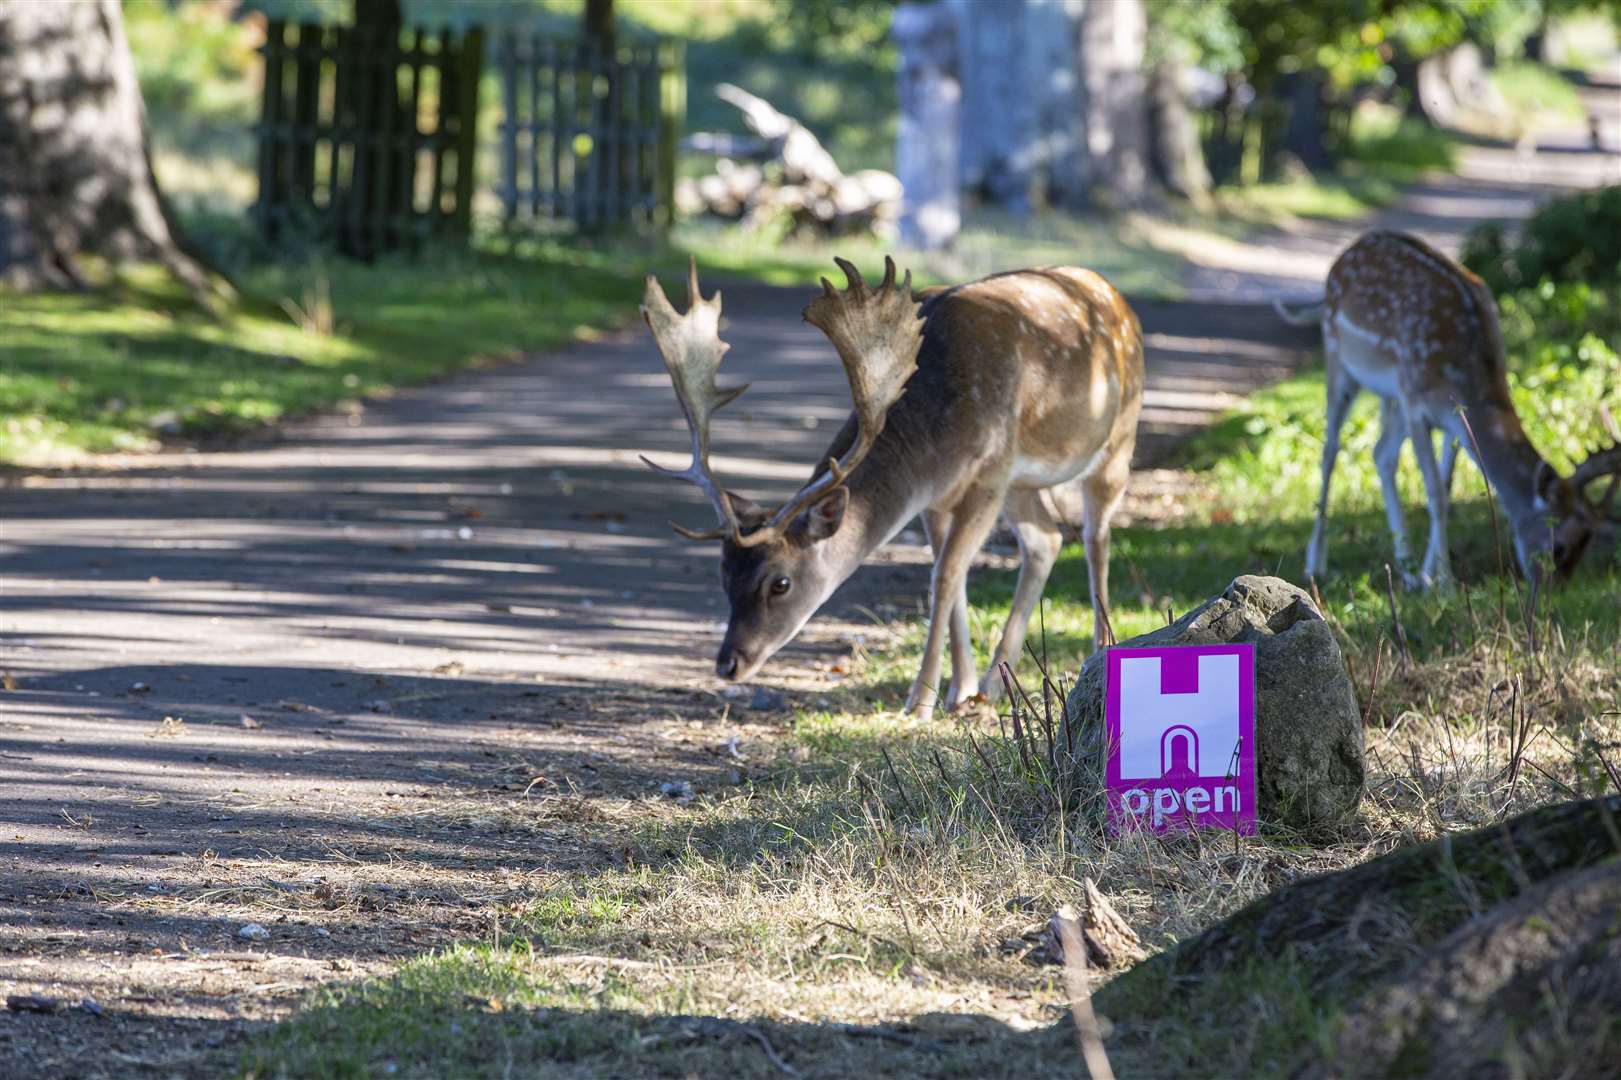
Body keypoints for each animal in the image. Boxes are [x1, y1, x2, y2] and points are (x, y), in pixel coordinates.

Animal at [638, 256, 1147, 720]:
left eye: (780, 583)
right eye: (724, 573)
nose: (728, 664)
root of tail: (1114, 293)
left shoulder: (990, 474)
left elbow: (943, 576)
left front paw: (919, 702)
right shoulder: (937, 497)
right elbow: (954, 577)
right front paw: (959, 689)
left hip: (1116, 440)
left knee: (1095, 537)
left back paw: (1101, 650)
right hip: (1024, 485)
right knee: (1047, 539)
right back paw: (993, 685)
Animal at [1277, 228, 1621, 590]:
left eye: (1587, 542)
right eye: (1559, 547)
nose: (1553, 591)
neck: (1465, 371)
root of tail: (1344, 256)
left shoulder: (1451, 417)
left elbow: (1445, 485)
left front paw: (1428, 574)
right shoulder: (1416, 404)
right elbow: (1435, 495)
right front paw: (1443, 582)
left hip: (1392, 394)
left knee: (1381, 452)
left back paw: (1406, 567)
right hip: (1339, 358)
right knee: (1330, 451)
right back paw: (1315, 563)